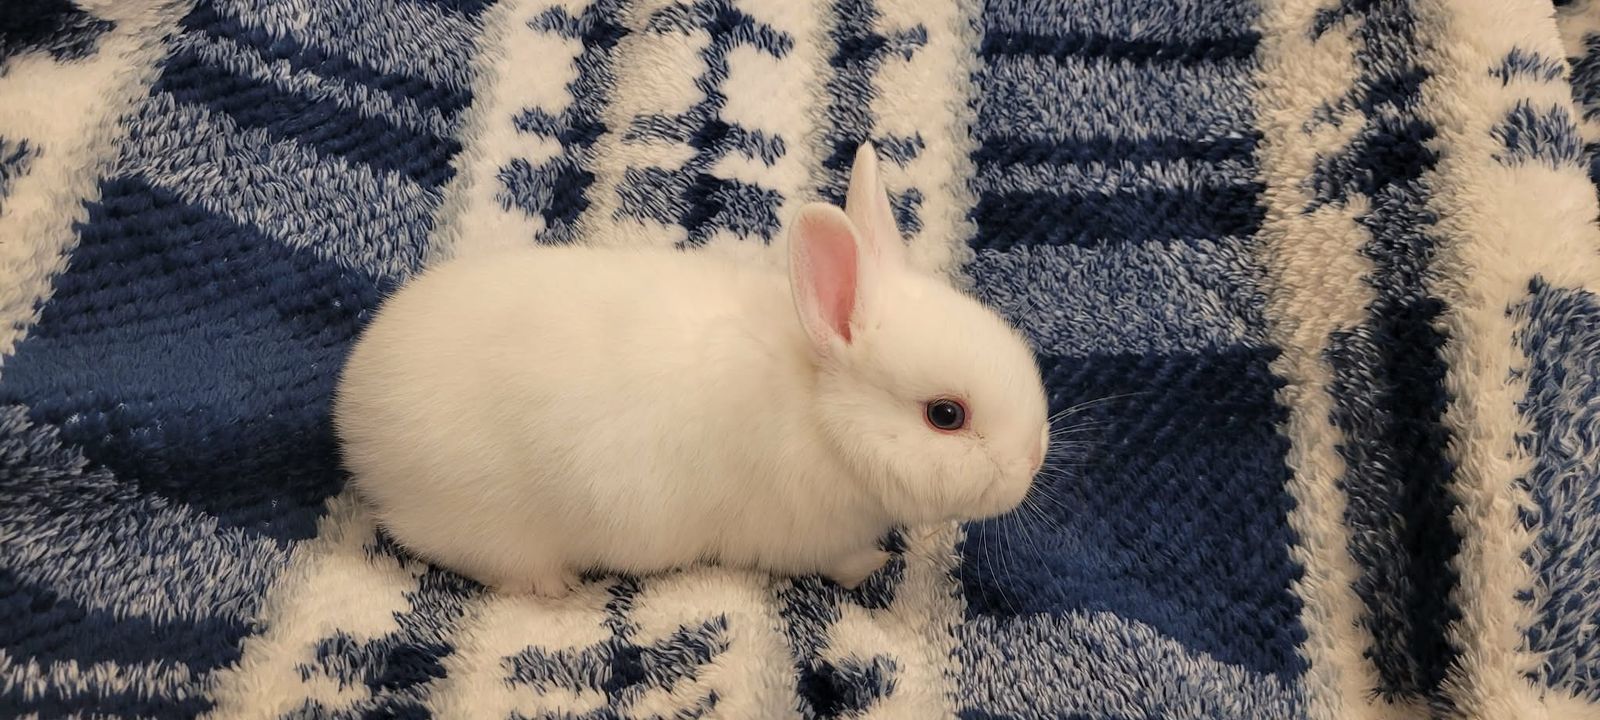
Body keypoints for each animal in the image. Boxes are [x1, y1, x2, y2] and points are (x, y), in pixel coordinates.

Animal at [332, 144, 1051, 596]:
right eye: (946, 416)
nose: (1030, 464)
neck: (819, 408)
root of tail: (355, 416)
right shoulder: (809, 538)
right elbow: (842, 562)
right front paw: (873, 565)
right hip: (489, 523)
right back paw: (555, 588)